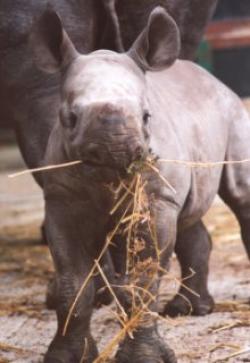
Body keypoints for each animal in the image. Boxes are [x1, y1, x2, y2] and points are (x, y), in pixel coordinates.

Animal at [30, 3, 250, 363]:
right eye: (70, 118)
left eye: (147, 116)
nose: (115, 148)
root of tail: (214, 80)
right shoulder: (61, 202)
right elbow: (72, 284)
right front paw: (66, 356)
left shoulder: (153, 199)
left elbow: (143, 279)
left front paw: (142, 357)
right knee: (188, 218)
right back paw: (190, 309)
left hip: (233, 111)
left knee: (239, 196)